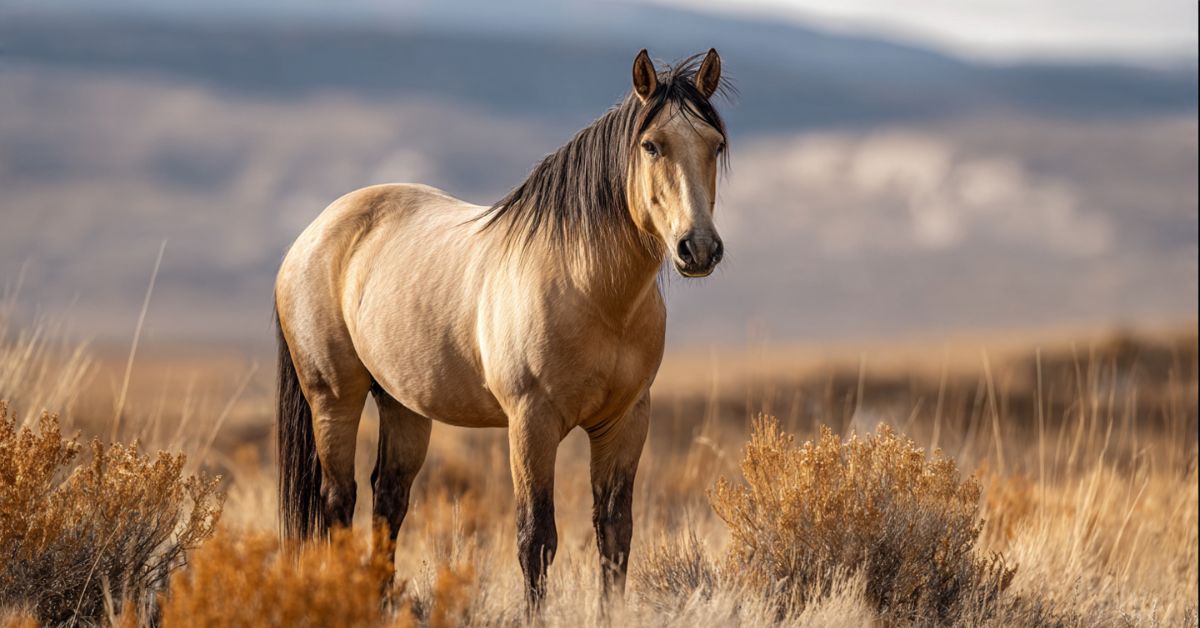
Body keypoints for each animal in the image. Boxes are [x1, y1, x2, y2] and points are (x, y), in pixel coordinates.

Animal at [274, 48, 729, 605]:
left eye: (714, 144)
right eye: (651, 145)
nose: (698, 248)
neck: (590, 286)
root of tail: (312, 233)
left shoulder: (625, 421)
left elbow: (614, 533)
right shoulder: (531, 423)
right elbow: (536, 538)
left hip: (402, 405)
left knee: (389, 499)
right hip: (334, 397)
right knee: (339, 500)